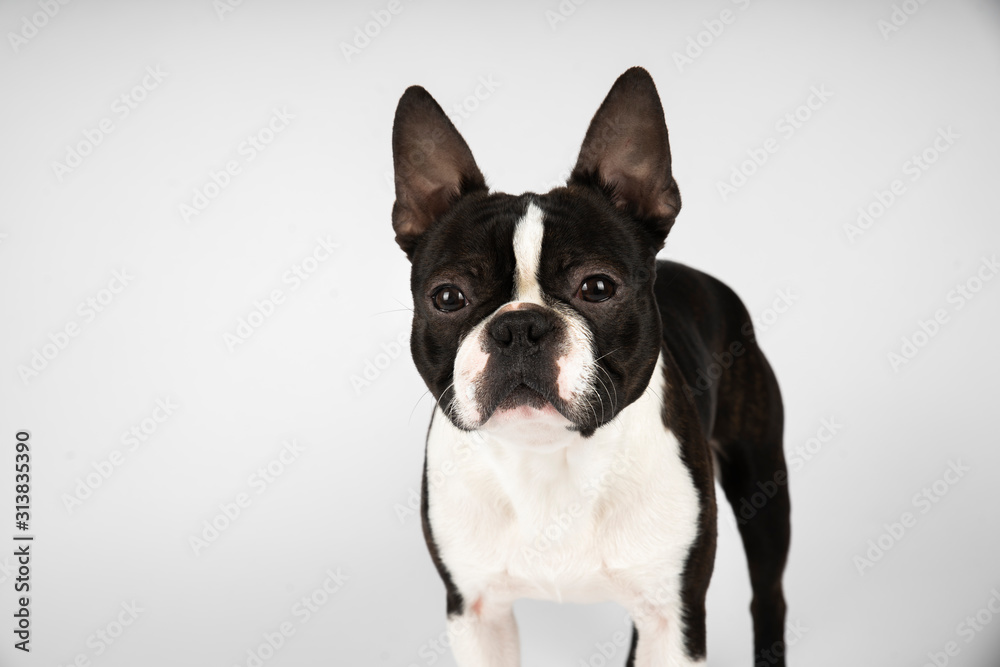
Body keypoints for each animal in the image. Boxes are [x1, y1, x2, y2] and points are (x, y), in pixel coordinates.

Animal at [390, 65, 788, 664]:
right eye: (448, 297)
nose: (520, 327)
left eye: (597, 287)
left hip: (762, 481)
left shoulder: (674, 615)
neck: (548, 457)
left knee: (769, 595)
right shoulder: (476, 611)